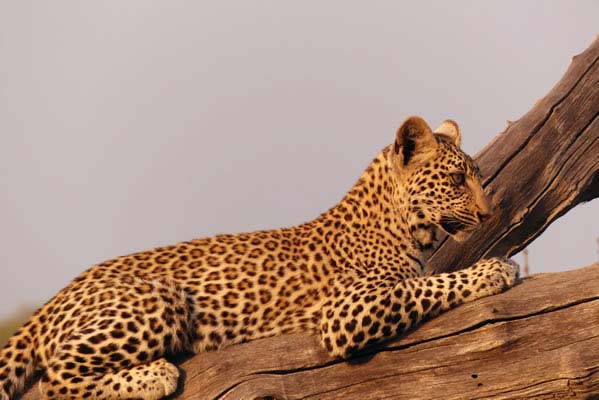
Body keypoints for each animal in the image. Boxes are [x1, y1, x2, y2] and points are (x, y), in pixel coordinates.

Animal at [0, 116, 520, 400]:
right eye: (456, 180)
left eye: (475, 177)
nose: (488, 212)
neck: (403, 226)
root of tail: (56, 298)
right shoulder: (347, 312)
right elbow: (425, 286)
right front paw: (496, 270)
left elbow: (426, 279)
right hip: (160, 301)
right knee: (54, 379)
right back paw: (155, 375)